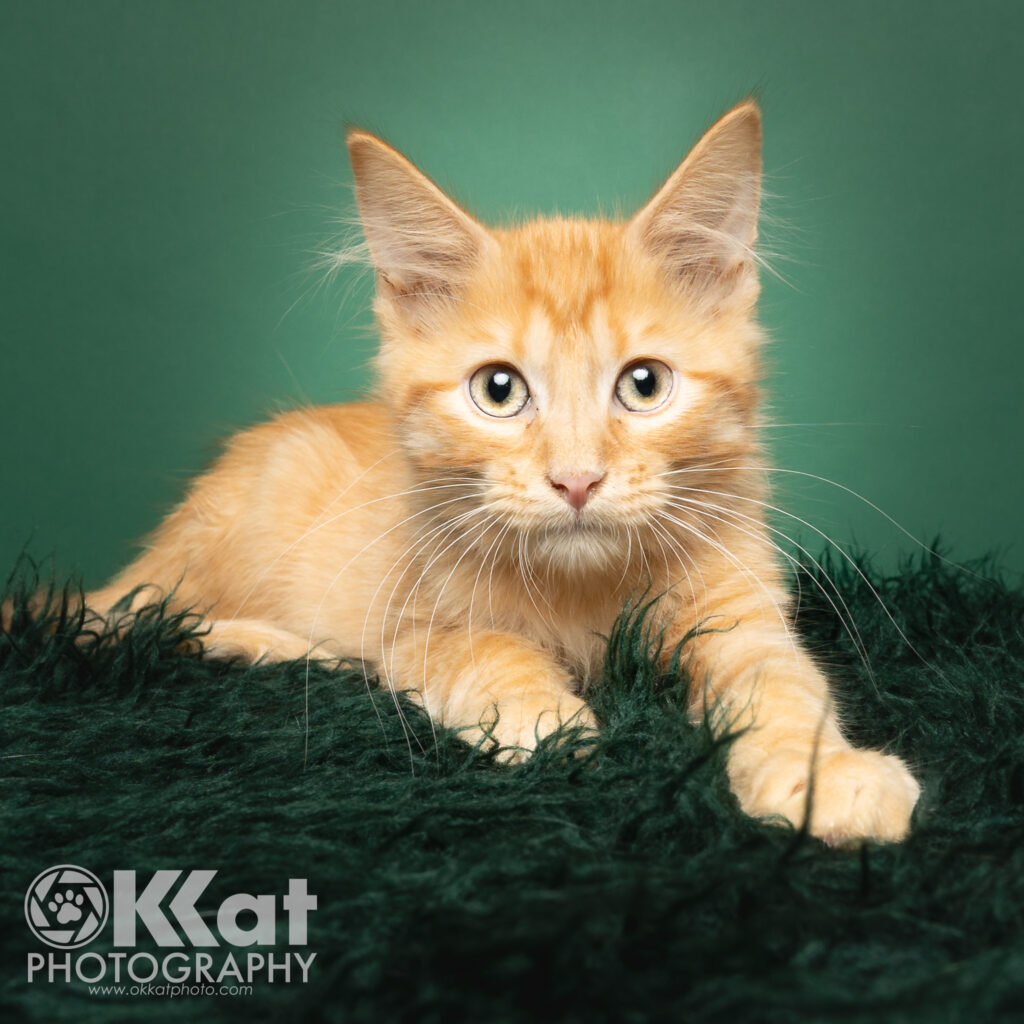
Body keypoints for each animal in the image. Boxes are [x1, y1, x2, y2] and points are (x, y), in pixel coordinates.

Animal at [84, 101, 920, 845]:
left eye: (644, 384)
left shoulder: (741, 611)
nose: (577, 481)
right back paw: (276, 646)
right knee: (122, 615)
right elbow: (488, 652)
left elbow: (785, 686)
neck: (586, 595)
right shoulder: (413, 625)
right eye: (498, 390)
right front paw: (543, 718)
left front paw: (823, 773)